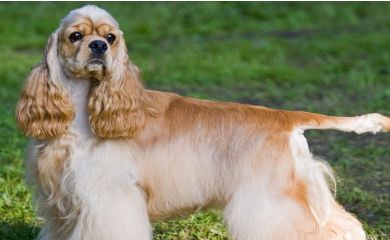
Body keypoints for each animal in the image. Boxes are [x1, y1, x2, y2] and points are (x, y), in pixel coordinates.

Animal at [16, 5, 390, 240]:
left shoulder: (108, 197)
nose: (98, 47)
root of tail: (285, 117)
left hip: (274, 199)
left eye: (111, 38)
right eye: (75, 36)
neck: (83, 109)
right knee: (344, 224)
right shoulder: (62, 200)